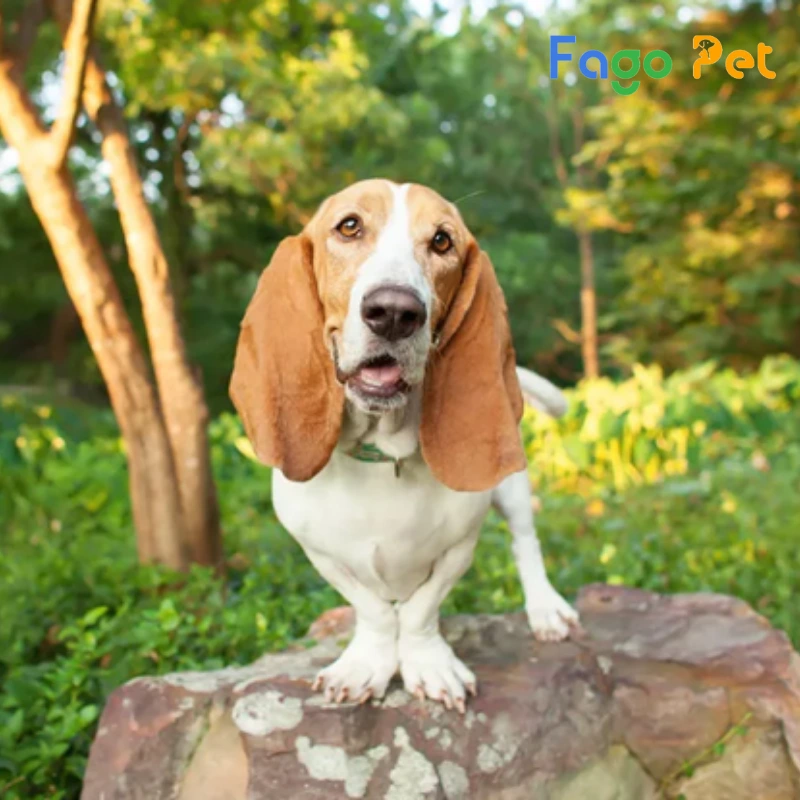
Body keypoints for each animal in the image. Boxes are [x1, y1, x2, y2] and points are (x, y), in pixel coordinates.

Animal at [230, 179, 578, 712]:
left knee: (526, 542)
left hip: (512, 488)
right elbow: (374, 610)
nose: (394, 311)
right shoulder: (321, 553)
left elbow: (418, 611)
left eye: (442, 240)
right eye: (349, 226)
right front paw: (366, 664)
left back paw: (545, 609)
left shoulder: (459, 547)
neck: (382, 454)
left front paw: (428, 665)